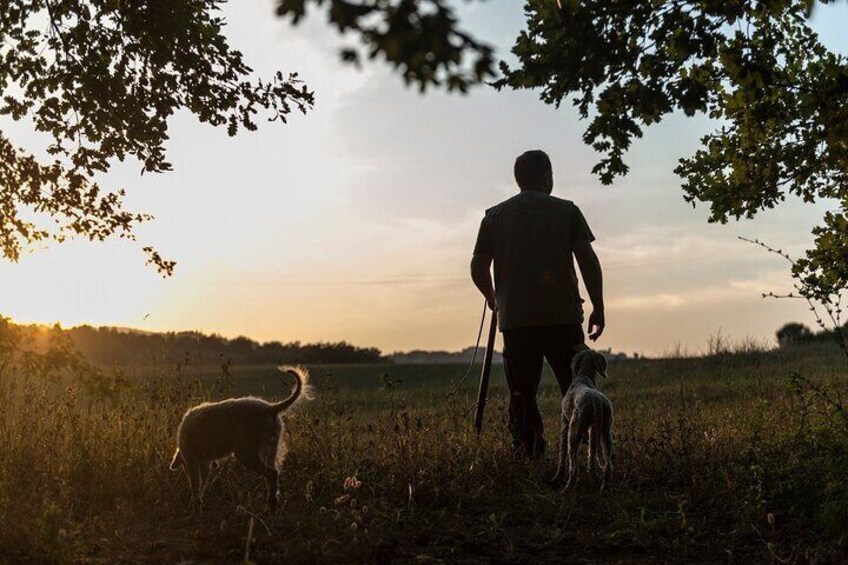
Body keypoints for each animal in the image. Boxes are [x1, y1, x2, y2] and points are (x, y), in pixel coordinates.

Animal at [168, 366, 312, 512]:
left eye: (184, 466)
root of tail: (271, 408)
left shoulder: (192, 461)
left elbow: (196, 485)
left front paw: (196, 504)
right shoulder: (204, 464)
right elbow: (202, 483)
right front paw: (199, 502)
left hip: (246, 453)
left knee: (272, 473)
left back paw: (271, 503)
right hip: (271, 449)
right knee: (274, 473)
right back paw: (273, 504)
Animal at [552, 348, 612, 490]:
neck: (583, 376)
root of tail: (597, 403)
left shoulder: (564, 423)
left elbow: (562, 452)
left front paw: (557, 476)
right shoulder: (592, 429)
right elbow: (592, 453)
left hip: (574, 431)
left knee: (573, 468)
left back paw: (567, 489)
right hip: (605, 432)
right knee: (607, 464)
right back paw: (603, 487)